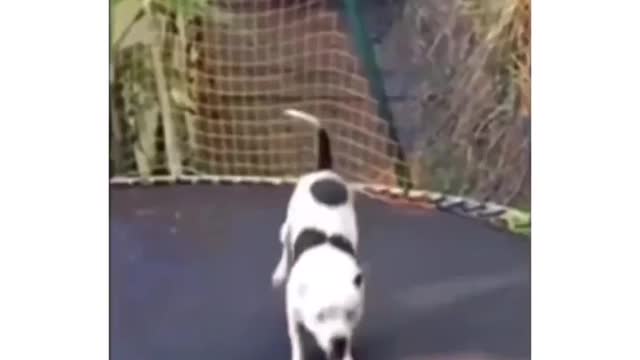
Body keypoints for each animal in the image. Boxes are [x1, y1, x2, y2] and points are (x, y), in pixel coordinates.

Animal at [272, 109, 364, 360]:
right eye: (320, 316)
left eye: (350, 314)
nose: (338, 342)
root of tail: (324, 172)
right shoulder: (293, 314)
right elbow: (297, 341)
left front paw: (347, 354)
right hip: (287, 224)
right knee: (285, 244)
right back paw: (279, 271)